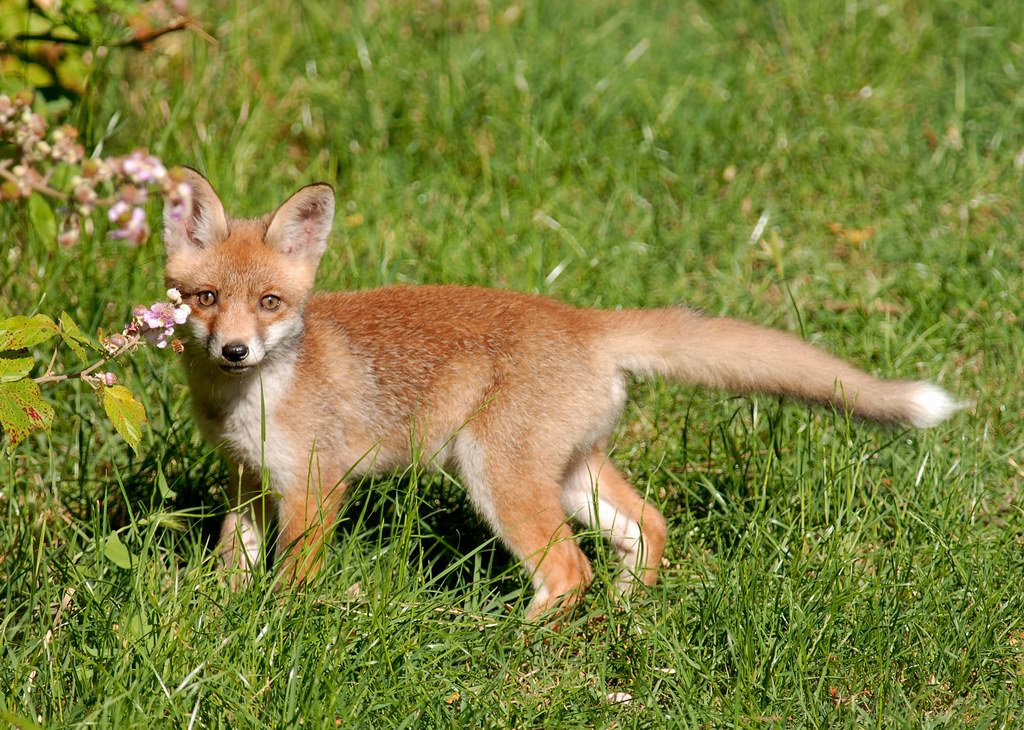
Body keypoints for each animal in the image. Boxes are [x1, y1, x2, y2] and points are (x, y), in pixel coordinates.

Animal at [159, 168, 958, 614]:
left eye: (270, 302)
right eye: (204, 298)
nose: (234, 350)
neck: (251, 401)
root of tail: (586, 321)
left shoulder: (317, 489)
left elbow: (292, 584)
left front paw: (274, 629)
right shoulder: (248, 484)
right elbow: (232, 563)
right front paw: (222, 618)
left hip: (496, 475)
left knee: (571, 571)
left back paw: (512, 642)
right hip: (570, 472)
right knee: (648, 526)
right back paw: (629, 616)